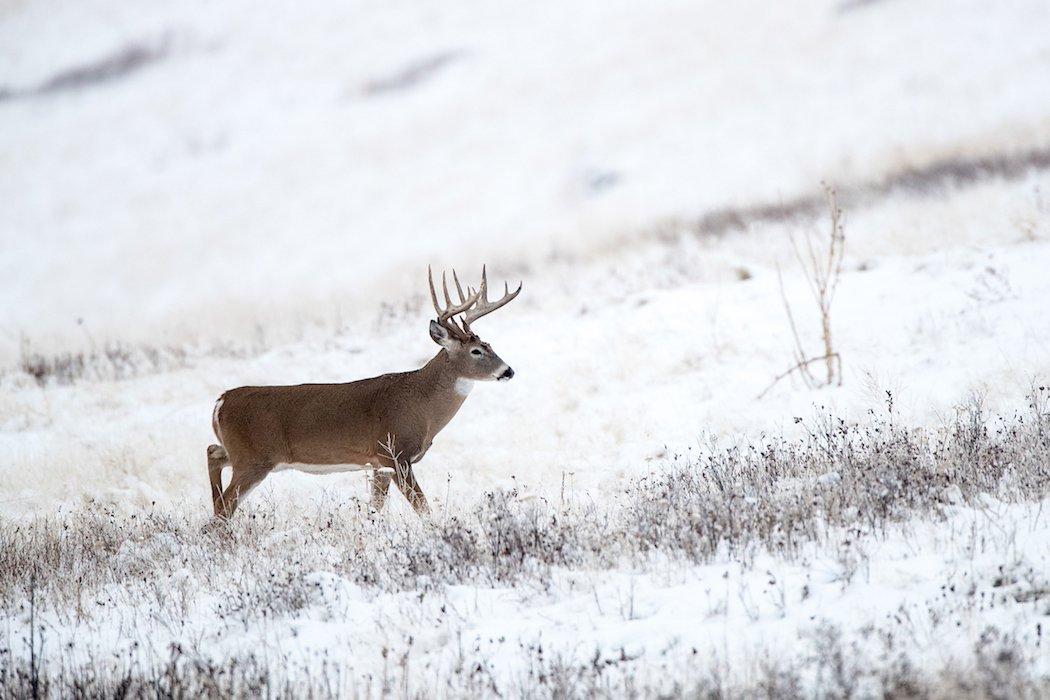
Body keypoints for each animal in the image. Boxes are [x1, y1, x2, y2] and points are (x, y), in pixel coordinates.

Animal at [204, 268, 520, 520]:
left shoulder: (379, 465)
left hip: (239, 453)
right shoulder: (395, 454)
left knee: (212, 455)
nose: (508, 371)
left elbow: (375, 510)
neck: (422, 404)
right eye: (476, 351)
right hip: (253, 459)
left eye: (490, 345)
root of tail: (221, 401)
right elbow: (423, 508)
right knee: (225, 506)